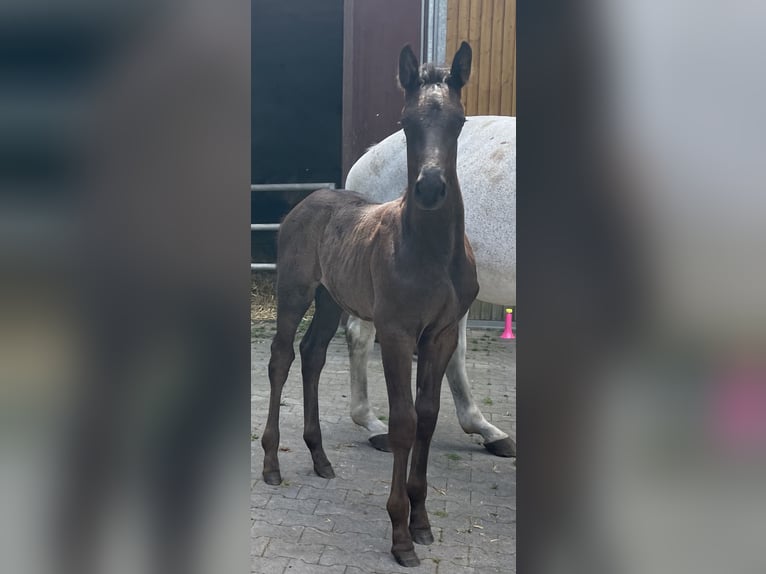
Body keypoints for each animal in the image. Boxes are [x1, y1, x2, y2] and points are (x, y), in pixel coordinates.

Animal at [264, 42, 480, 568]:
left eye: (459, 121)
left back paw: (320, 458)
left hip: (330, 300)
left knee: (313, 355)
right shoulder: (397, 332)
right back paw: (272, 463)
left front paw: (422, 522)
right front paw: (400, 535)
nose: (430, 187)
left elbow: (427, 417)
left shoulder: (440, 333)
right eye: (405, 123)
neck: (429, 250)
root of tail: (309, 201)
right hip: (295, 293)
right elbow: (403, 422)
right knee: (281, 359)